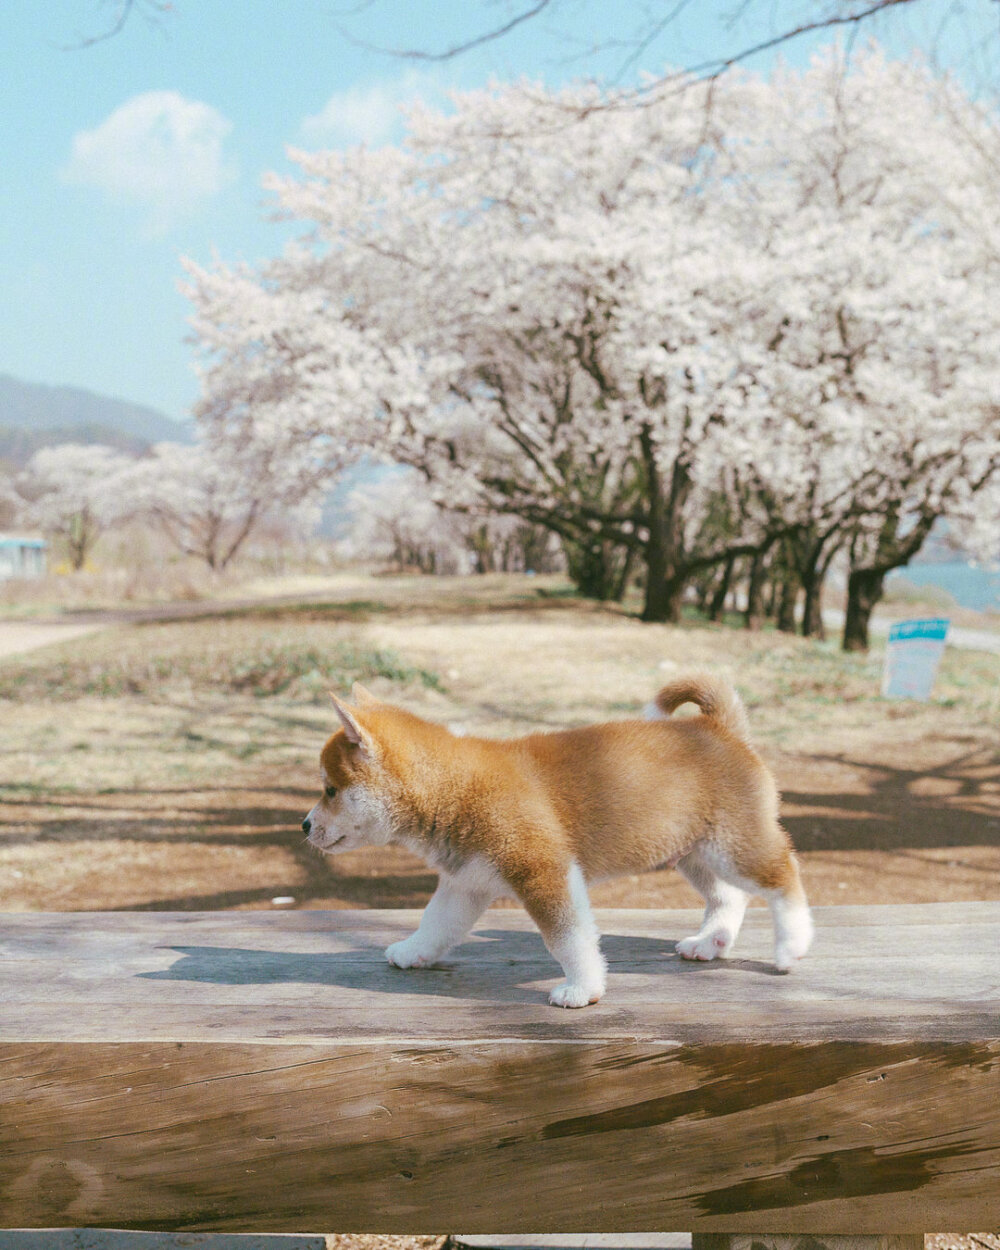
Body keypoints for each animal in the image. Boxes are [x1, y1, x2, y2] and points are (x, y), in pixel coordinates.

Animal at [305, 675, 810, 1005]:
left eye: (329, 789)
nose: (305, 826)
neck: (455, 787)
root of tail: (719, 728)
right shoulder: (466, 883)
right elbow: (436, 924)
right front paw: (413, 952)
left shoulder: (544, 872)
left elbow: (569, 939)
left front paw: (583, 988)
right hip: (694, 854)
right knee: (730, 898)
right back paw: (711, 942)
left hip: (734, 847)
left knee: (785, 878)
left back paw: (792, 947)